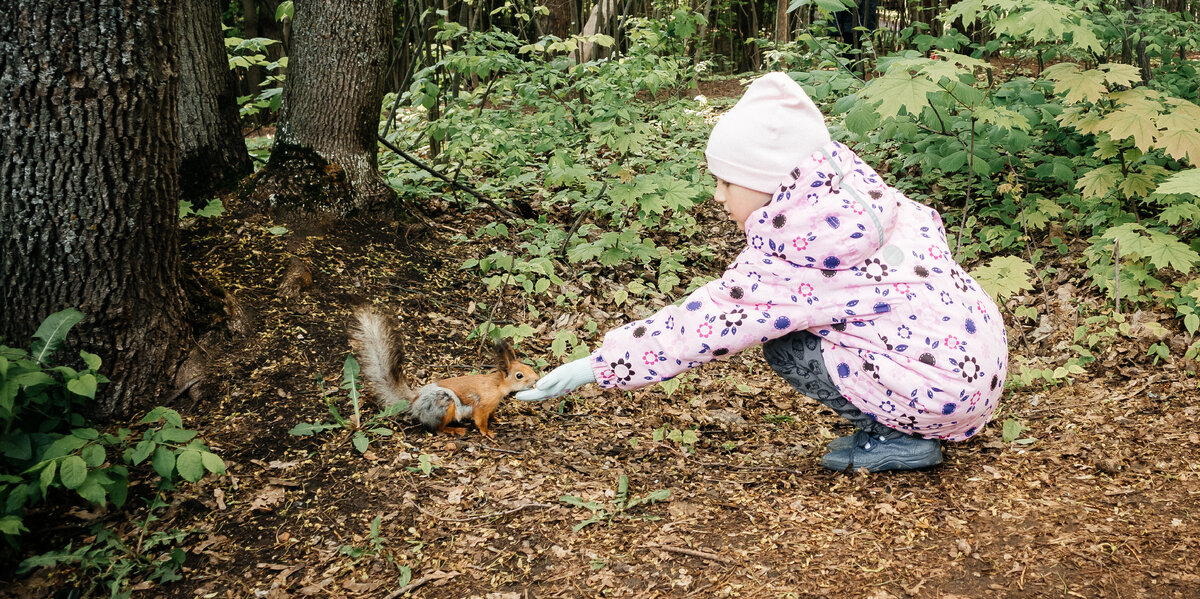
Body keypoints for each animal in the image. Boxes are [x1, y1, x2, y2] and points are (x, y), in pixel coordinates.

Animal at [348, 307, 535, 439]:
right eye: (519, 375)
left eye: (527, 366)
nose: (536, 379)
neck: (497, 385)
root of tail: (415, 401)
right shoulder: (483, 404)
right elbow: (480, 420)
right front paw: (487, 432)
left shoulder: (493, 405)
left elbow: (493, 414)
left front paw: (497, 420)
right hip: (442, 404)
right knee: (438, 429)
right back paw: (455, 430)